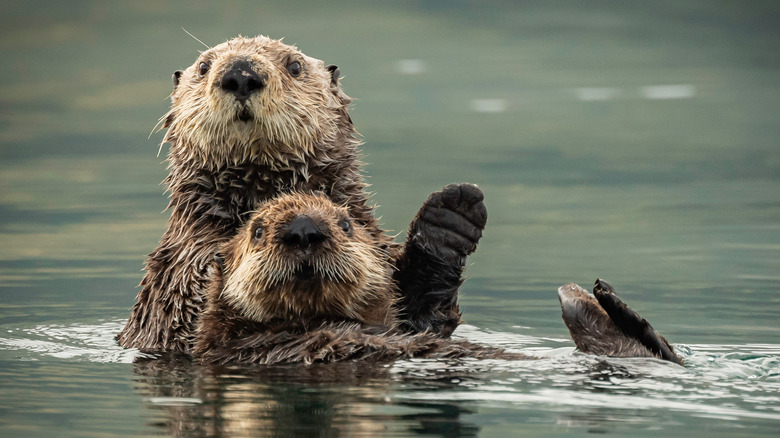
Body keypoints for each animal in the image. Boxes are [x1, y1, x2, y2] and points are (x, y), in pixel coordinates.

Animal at [118, 36, 484, 352]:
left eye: (294, 66)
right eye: (204, 66)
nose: (240, 74)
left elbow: (421, 317)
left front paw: (449, 217)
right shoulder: (178, 271)